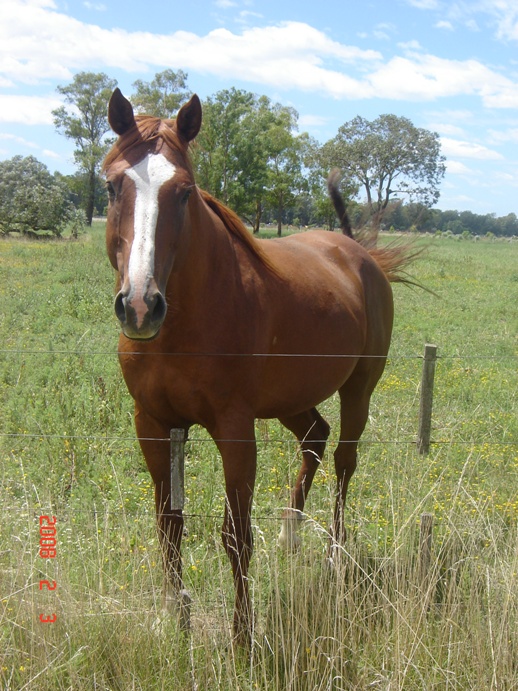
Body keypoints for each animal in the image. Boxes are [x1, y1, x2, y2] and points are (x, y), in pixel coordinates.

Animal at [103, 89, 416, 648]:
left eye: (184, 192)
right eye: (113, 185)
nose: (140, 306)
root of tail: (360, 254)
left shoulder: (234, 427)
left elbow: (235, 535)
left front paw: (243, 637)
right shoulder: (153, 423)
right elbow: (168, 522)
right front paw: (174, 615)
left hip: (360, 387)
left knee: (344, 460)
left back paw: (333, 556)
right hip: (292, 399)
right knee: (314, 437)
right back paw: (291, 535)